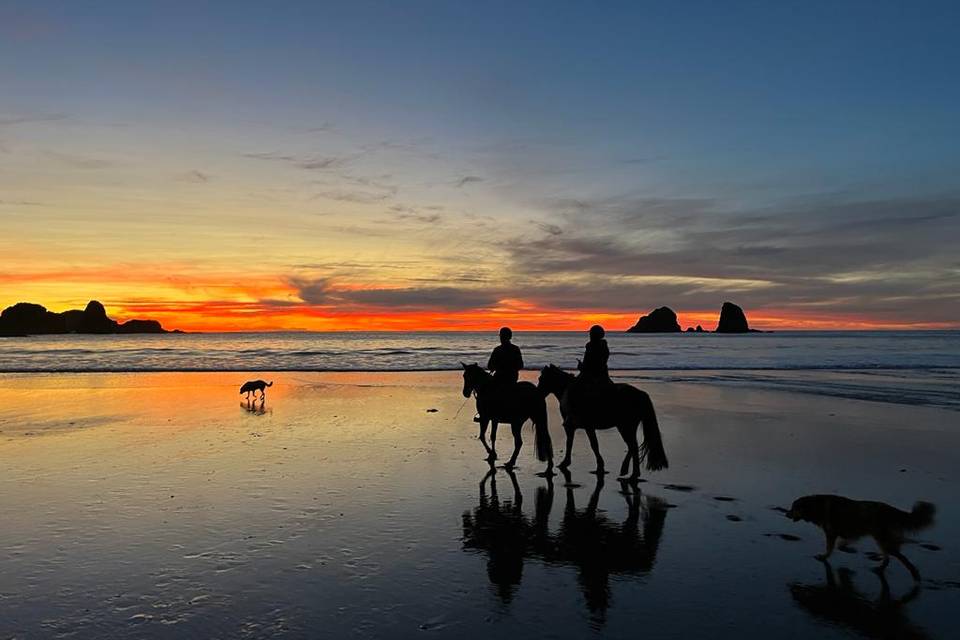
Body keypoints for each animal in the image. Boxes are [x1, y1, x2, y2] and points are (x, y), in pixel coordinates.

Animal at [540, 364, 668, 480]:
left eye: (541, 379)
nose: (538, 393)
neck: (568, 391)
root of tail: (641, 394)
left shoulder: (578, 426)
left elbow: (588, 445)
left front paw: (598, 466)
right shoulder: (580, 427)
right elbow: (578, 444)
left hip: (625, 427)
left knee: (633, 447)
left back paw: (632, 474)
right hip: (627, 427)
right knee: (632, 447)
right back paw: (628, 471)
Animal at [784, 496, 932, 580]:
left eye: (793, 508)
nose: (786, 514)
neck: (815, 506)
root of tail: (891, 510)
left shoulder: (831, 533)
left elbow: (830, 548)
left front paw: (824, 556)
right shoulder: (849, 532)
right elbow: (841, 544)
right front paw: (847, 549)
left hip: (882, 538)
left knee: (898, 556)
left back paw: (914, 573)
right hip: (881, 539)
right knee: (888, 555)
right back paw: (880, 567)